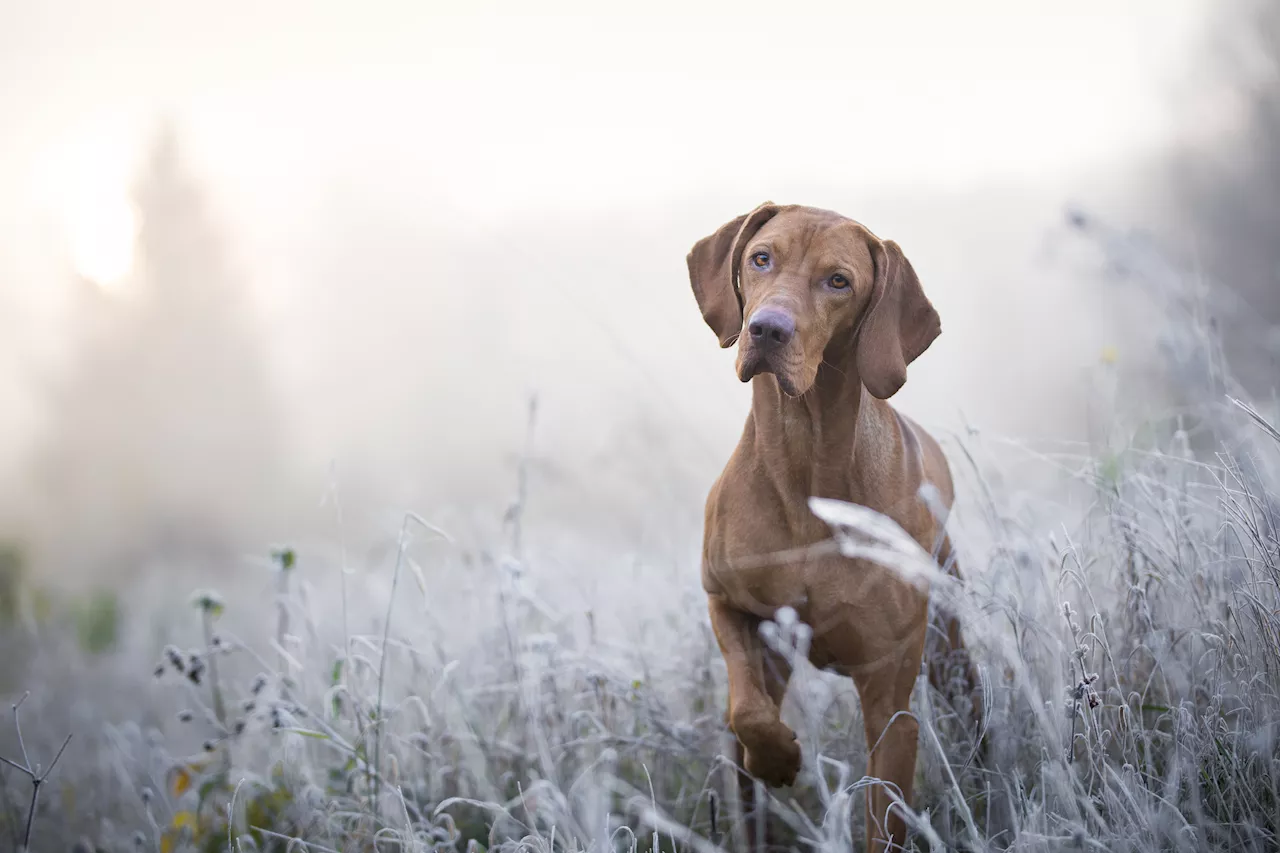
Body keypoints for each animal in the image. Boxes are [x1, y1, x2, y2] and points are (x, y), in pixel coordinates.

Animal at [691, 202, 977, 845]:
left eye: (838, 281)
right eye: (760, 258)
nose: (766, 329)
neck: (805, 461)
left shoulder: (890, 704)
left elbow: (884, 822)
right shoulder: (726, 600)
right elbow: (748, 710)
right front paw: (779, 757)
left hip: (951, 650)